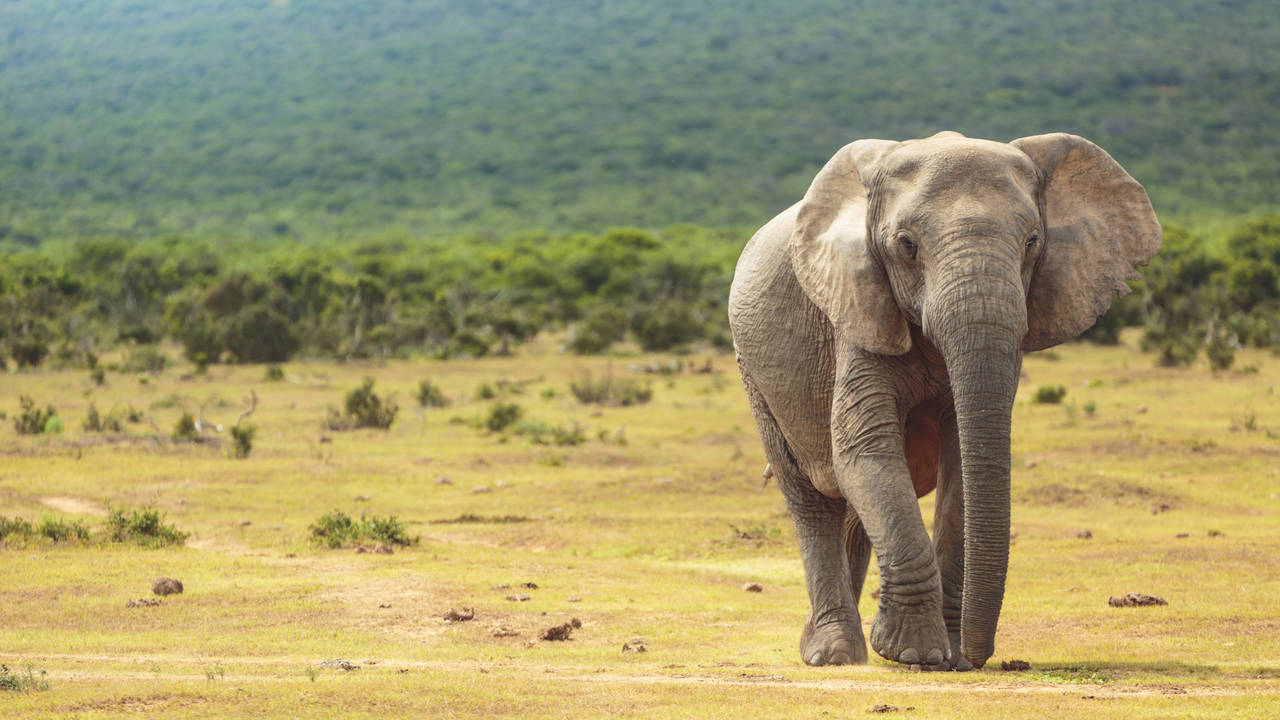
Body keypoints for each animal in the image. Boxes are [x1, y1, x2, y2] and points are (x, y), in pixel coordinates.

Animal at [728, 132, 1160, 670]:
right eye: (907, 246)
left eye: (1032, 242)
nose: (976, 658)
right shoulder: (858, 310)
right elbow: (865, 450)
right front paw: (914, 652)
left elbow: (960, 462)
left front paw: (944, 654)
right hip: (754, 373)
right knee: (812, 499)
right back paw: (831, 655)